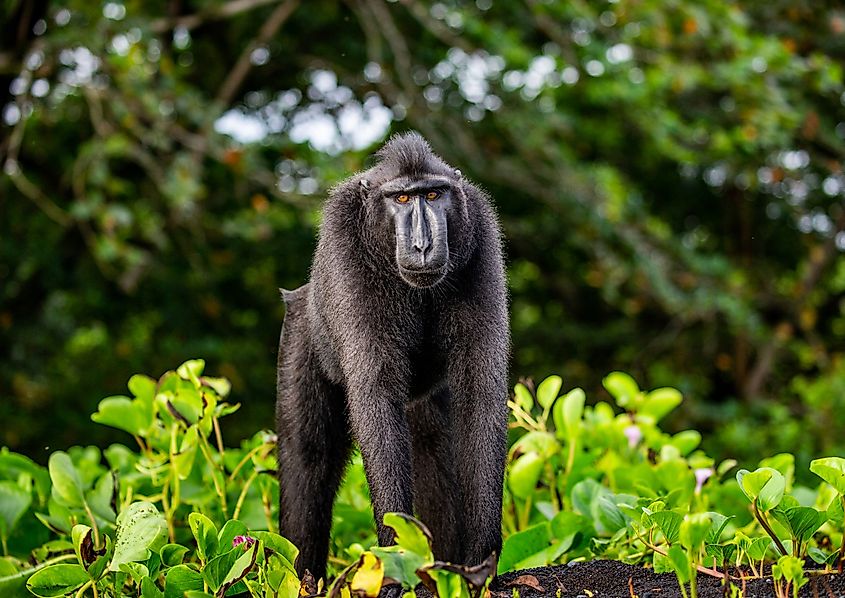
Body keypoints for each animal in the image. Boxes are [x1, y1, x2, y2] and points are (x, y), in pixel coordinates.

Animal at [275, 132, 509, 583]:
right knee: (309, 459)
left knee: (434, 453)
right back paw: (303, 580)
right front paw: (395, 555)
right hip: (300, 334)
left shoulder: (481, 235)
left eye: (433, 194)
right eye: (401, 199)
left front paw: (480, 560)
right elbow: (376, 395)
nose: (422, 244)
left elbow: (480, 396)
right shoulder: (344, 241)